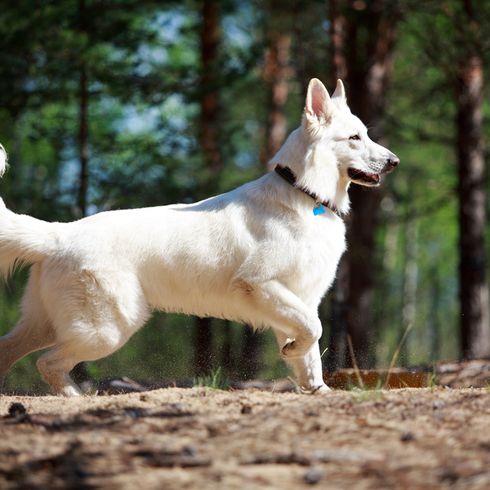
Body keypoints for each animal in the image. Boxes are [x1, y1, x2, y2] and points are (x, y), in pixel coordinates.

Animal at [0, 78, 398, 396]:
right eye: (355, 138)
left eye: (365, 133)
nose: (394, 161)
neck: (304, 193)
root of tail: (59, 232)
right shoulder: (262, 285)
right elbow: (314, 331)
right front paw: (295, 356)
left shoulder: (301, 297)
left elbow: (311, 349)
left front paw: (316, 388)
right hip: (107, 329)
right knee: (48, 364)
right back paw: (75, 398)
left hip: (47, 325)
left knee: (10, 351)